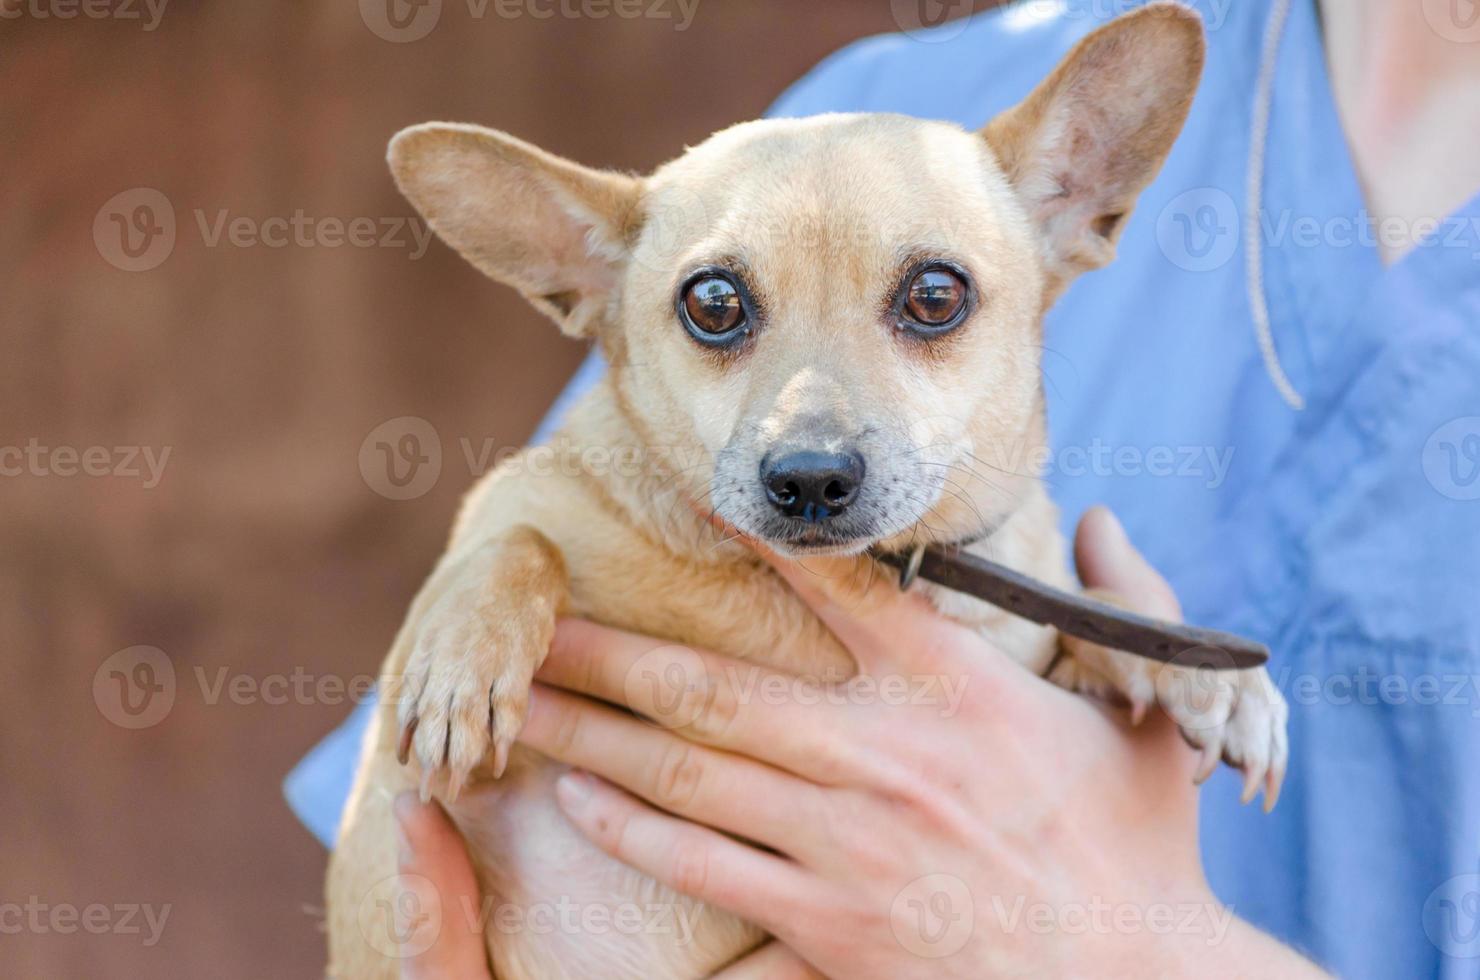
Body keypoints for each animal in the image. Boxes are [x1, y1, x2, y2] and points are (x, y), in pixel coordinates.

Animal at [324, 5, 1284, 977]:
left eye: (935, 295)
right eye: (713, 303)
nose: (811, 477)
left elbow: (1085, 610)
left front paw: (1208, 679)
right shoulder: (387, 821)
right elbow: (517, 542)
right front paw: (465, 660)